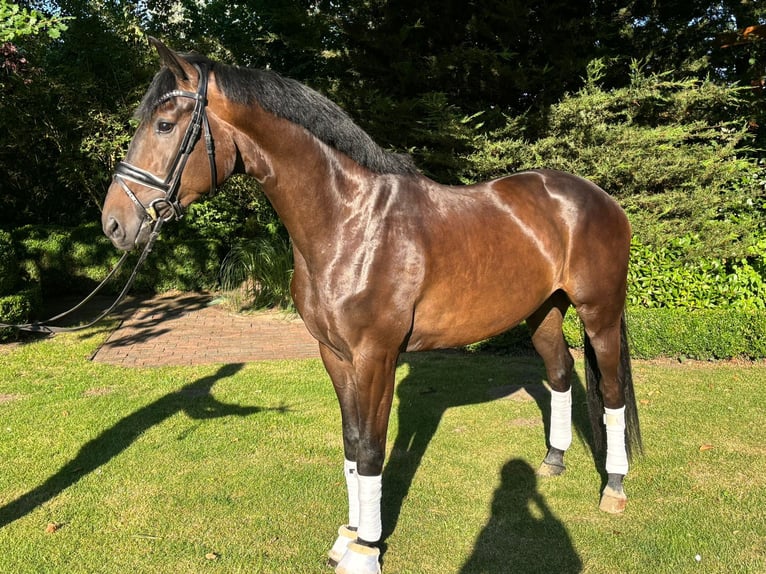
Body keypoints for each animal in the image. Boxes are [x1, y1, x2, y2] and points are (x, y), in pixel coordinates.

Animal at [100, 38, 640, 572]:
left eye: (164, 124)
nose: (114, 223)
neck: (351, 221)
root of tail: (598, 197)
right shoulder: (335, 355)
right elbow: (351, 442)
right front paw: (348, 535)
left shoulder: (375, 357)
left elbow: (371, 450)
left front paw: (366, 548)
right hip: (543, 312)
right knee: (561, 374)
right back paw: (554, 461)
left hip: (600, 313)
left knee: (612, 391)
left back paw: (614, 487)